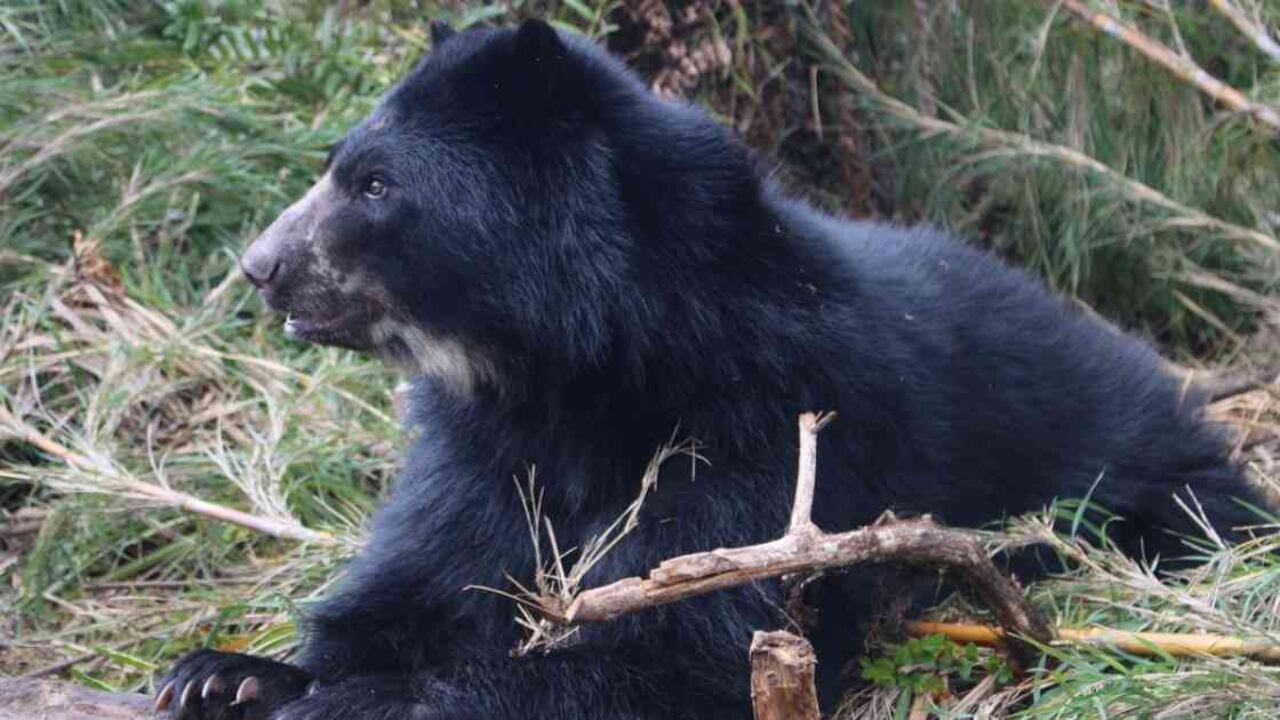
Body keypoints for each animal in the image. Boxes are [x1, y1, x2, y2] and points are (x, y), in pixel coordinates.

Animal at [155, 18, 1262, 720]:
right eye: (338, 165)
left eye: (376, 186)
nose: (258, 268)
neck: (569, 370)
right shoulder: (483, 453)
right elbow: (424, 575)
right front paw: (224, 675)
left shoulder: (765, 421)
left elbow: (684, 643)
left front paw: (358, 700)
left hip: (1121, 479)